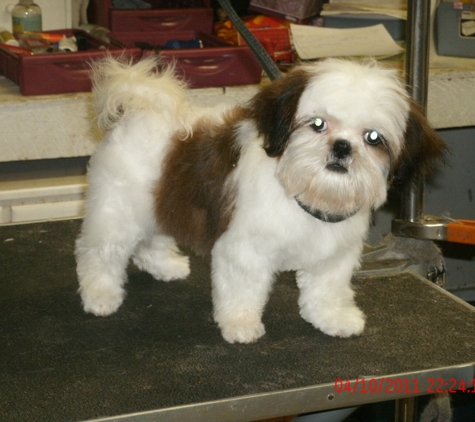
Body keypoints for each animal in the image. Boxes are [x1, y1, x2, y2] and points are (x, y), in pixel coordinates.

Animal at [76, 56, 448, 342]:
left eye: (373, 138)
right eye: (317, 124)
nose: (342, 147)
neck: (305, 191)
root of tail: (141, 107)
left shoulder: (335, 254)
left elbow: (327, 288)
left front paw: (333, 318)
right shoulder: (244, 249)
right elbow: (243, 287)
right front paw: (240, 324)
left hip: (162, 197)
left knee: (152, 233)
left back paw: (165, 265)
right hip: (117, 207)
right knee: (99, 252)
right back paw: (100, 294)